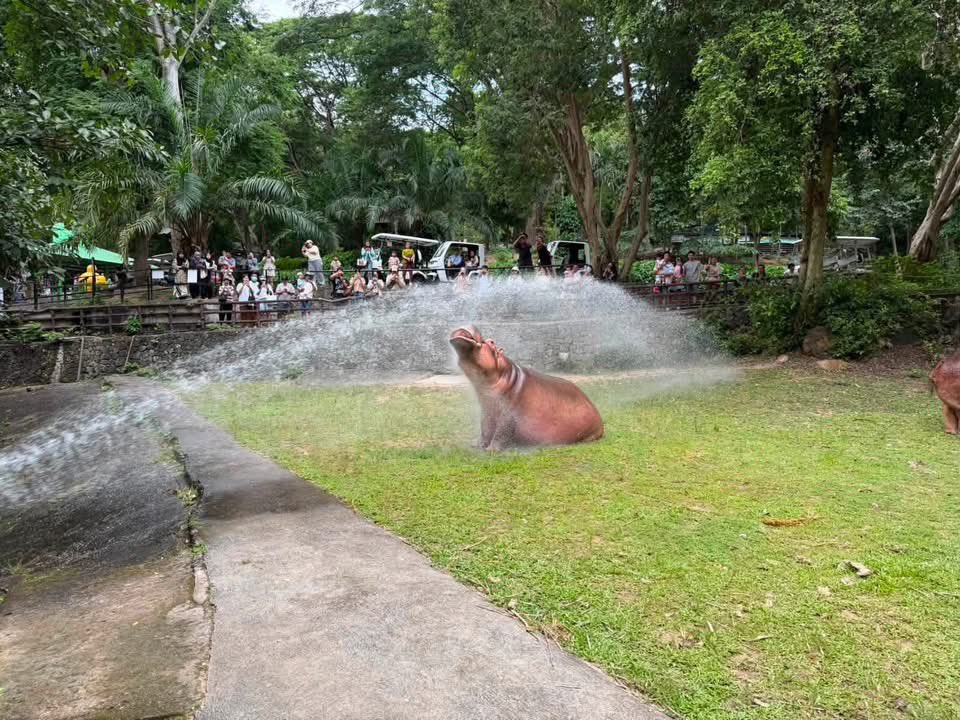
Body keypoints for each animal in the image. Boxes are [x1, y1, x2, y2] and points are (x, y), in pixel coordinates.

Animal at [449, 325, 604, 450]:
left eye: (492, 342)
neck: (505, 374)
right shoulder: (487, 409)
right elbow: (485, 428)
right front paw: (477, 445)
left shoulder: (509, 412)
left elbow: (501, 431)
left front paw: (491, 450)